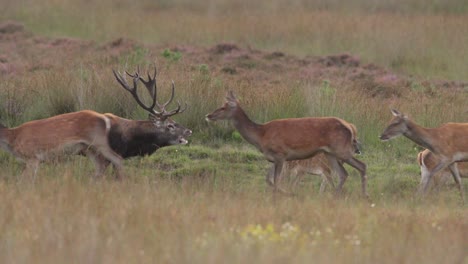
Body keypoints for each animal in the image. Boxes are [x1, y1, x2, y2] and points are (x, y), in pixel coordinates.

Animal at [207, 92, 368, 197]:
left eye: (224, 107)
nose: (208, 115)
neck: (261, 136)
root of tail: (350, 127)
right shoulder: (274, 157)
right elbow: (269, 179)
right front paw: (288, 193)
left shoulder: (280, 154)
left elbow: (276, 180)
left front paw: (284, 195)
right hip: (331, 153)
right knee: (345, 173)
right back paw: (338, 195)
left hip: (342, 150)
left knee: (360, 166)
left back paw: (361, 195)